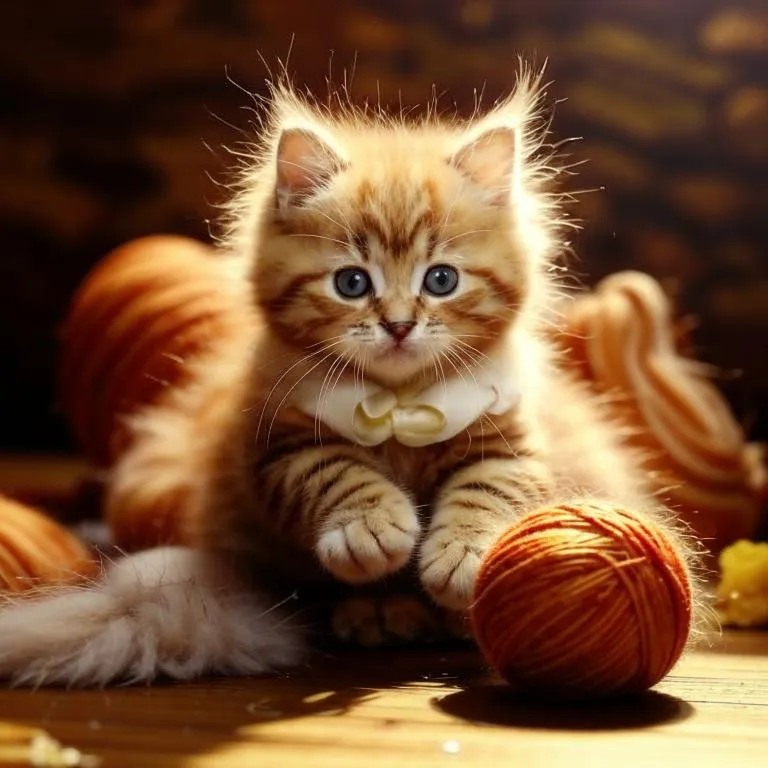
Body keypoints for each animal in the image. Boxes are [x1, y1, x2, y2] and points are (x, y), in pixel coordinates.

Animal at [0, 69, 704, 688]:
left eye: (440, 280)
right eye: (351, 283)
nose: (397, 325)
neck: (400, 406)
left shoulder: (513, 442)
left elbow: (485, 492)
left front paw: (459, 560)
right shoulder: (277, 446)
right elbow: (339, 474)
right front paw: (374, 537)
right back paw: (375, 612)